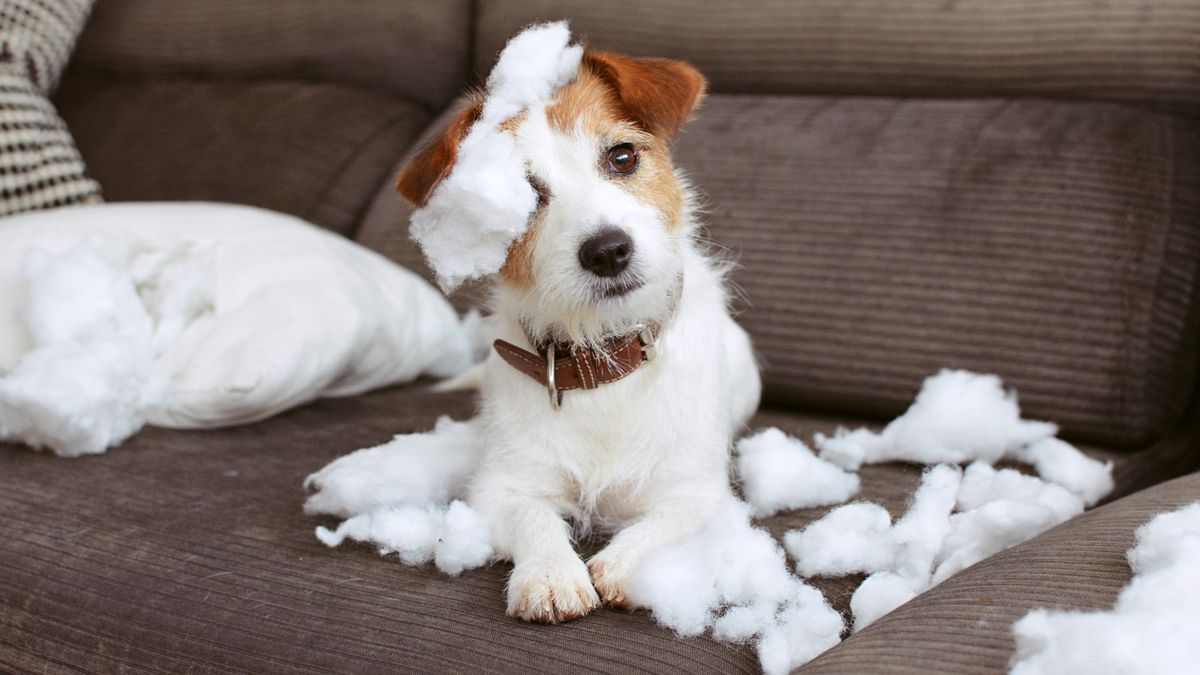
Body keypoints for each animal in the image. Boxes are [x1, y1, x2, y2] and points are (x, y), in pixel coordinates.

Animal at [398, 49, 763, 624]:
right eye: (524, 195)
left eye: (622, 157)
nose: (608, 250)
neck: (602, 358)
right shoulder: (503, 486)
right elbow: (533, 519)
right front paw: (551, 575)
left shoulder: (696, 491)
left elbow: (663, 523)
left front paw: (622, 564)